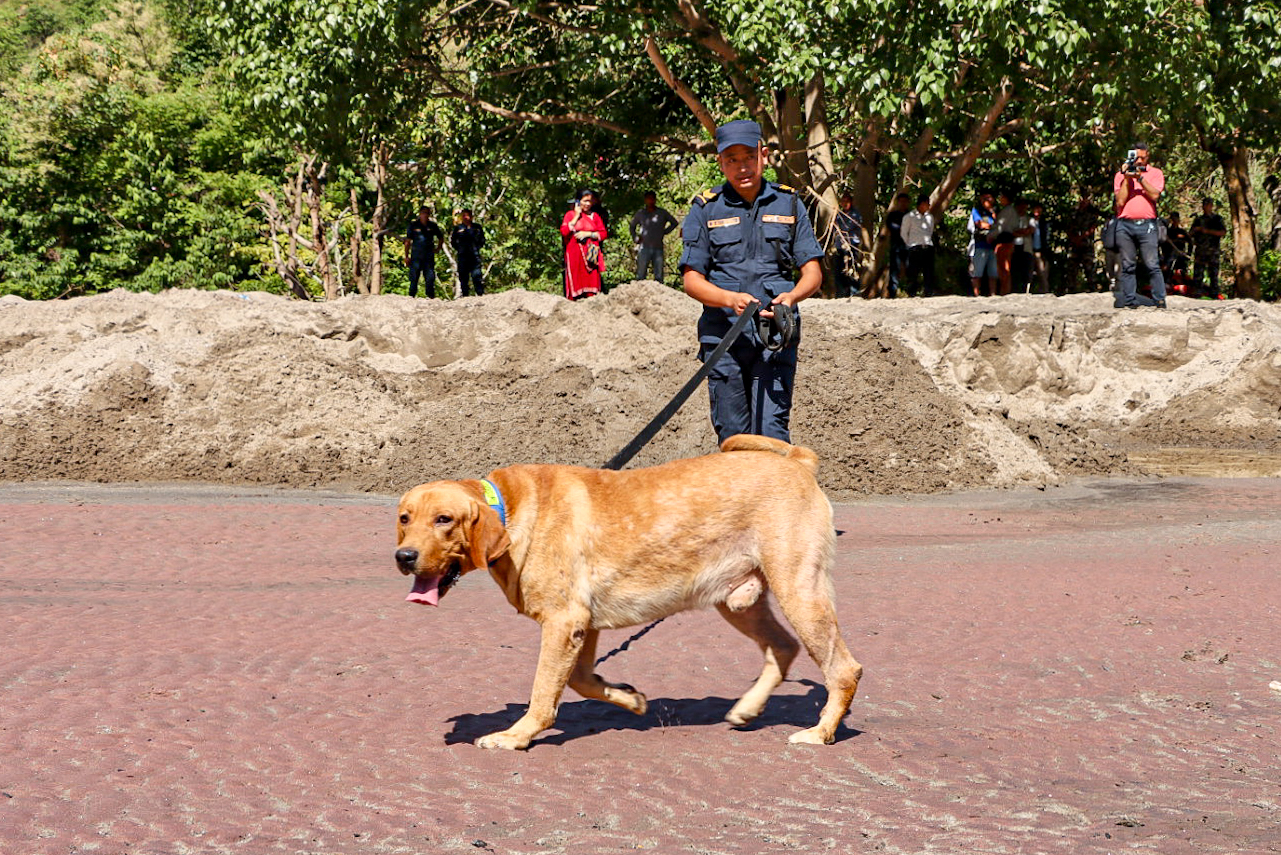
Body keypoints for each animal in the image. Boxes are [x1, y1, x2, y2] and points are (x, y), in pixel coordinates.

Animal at [394, 435, 865, 748]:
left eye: (444, 519)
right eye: (404, 517)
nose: (404, 556)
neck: (509, 509)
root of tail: (800, 462)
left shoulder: (564, 622)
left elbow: (544, 691)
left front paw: (516, 736)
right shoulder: (583, 624)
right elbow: (581, 680)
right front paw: (631, 699)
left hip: (798, 589)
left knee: (844, 668)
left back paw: (821, 731)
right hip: (737, 601)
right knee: (783, 647)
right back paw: (748, 707)